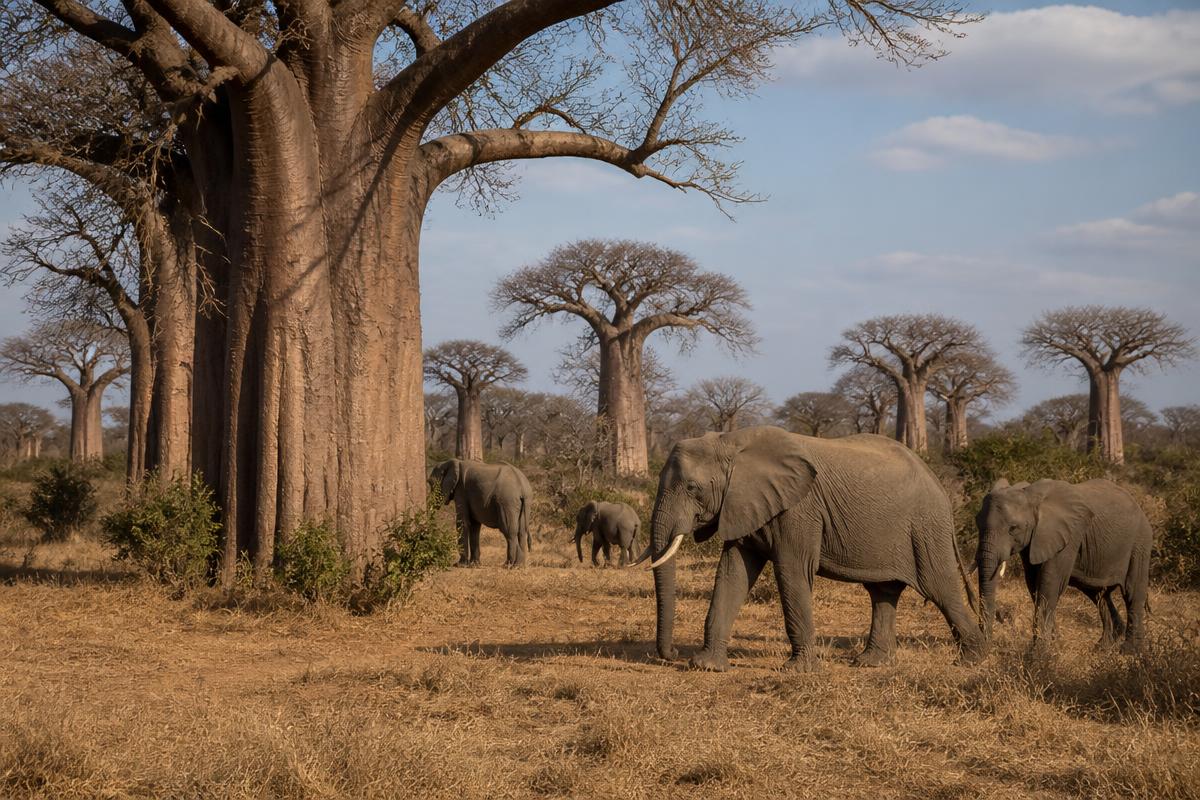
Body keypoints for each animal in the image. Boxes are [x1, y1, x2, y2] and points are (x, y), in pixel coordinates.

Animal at [634, 426, 984, 672]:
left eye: (692, 488)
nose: (672, 654)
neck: (730, 442)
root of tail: (939, 484)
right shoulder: (743, 504)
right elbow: (733, 574)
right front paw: (706, 667)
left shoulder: (799, 510)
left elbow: (792, 571)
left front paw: (798, 671)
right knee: (883, 592)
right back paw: (871, 663)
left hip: (926, 528)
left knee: (940, 587)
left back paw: (972, 661)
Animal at [975, 478, 1151, 652]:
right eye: (977, 523)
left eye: (1013, 528)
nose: (988, 646)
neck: (1030, 495)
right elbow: (1034, 584)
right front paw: (1055, 645)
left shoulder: (1069, 536)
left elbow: (1050, 583)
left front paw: (1040, 652)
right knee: (1099, 594)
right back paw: (1103, 647)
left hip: (1140, 542)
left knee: (1133, 591)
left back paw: (1130, 651)